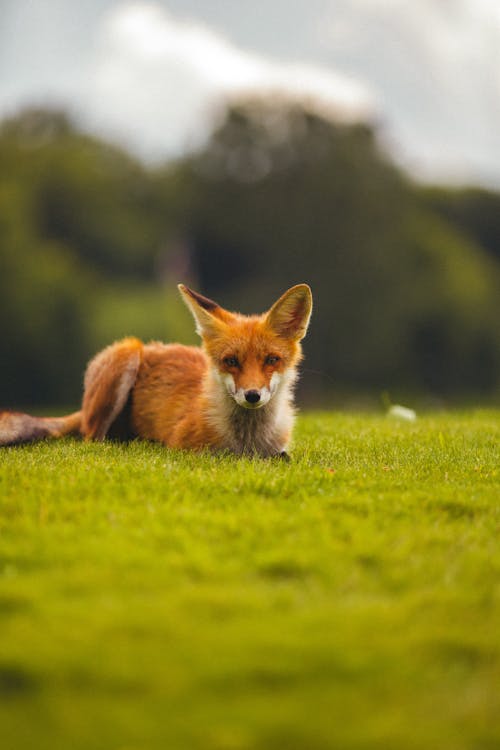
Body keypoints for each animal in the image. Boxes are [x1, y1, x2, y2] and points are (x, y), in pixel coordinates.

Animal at [0, 282, 312, 458]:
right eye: (231, 361)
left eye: (271, 360)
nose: (252, 395)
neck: (247, 442)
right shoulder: (189, 448)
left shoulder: (277, 450)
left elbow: (282, 456)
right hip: (125, 355)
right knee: (91, 438)